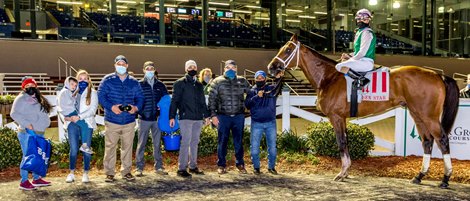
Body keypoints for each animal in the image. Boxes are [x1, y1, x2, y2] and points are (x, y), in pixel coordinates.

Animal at [268, 35, 458, 188]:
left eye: (288, 50)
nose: (272, 67)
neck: (329, 77)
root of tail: (438, 75)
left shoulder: (336, 117)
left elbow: (341, 143)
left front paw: (342, 173)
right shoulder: (342, 118)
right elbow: (346, 142)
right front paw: (346, 172)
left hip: (429, 116)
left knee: (442, 139)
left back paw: (445, 178)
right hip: (417, 115)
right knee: (427, 141)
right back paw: (419, 176)